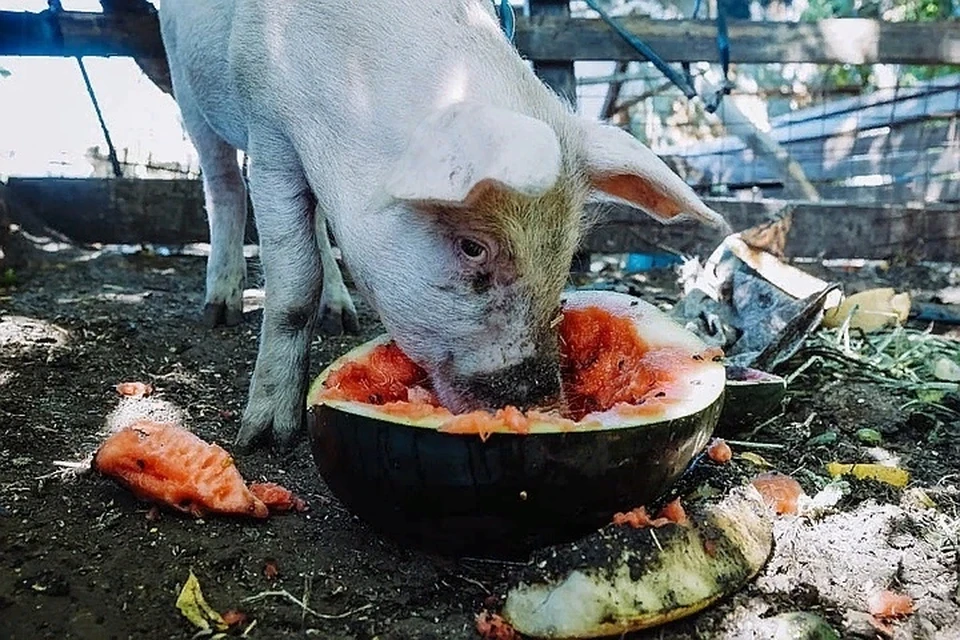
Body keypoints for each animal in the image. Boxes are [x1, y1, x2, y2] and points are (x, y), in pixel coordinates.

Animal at [158, 1, 728, 450]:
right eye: (473, 247)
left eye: (565, 251)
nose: (542, 403)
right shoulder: (270, 130)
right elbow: (295, 285)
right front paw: (265, 437)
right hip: (187, 85)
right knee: (224, 185)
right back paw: (219, 311)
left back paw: (340, 318)